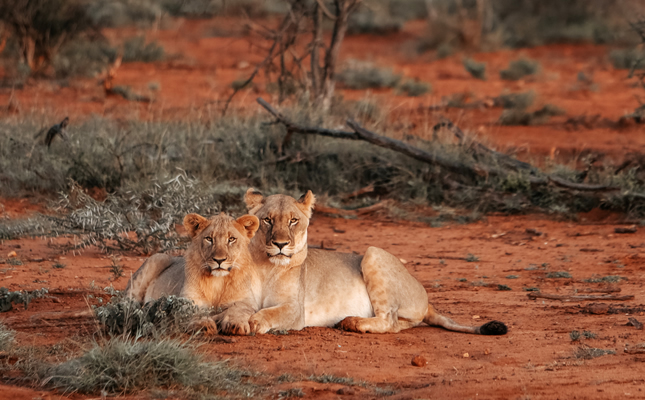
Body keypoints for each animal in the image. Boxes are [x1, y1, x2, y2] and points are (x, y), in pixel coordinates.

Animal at [125, 212, 261, 333]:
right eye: (209, 239)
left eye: (231, 239)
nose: (219, 260)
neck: (217, 281)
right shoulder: (186, 300)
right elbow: (195, 311)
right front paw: (204, 324)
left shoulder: (247, 300)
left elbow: (238, 309)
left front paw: (235, 324)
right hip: (156, 259)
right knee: (128, 301)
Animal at [218, 189, 507, 336]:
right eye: (267, 220)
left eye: (293, 221)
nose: (280, 244)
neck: (267, 267)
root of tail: (425, 297)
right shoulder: (239, 300)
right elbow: (234, 310)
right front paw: (233, 323)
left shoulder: (295, 309)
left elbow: (271, 312)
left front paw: (255, 322)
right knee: (400, 323)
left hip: (372, 253)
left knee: (389, 322)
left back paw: (351, 322)